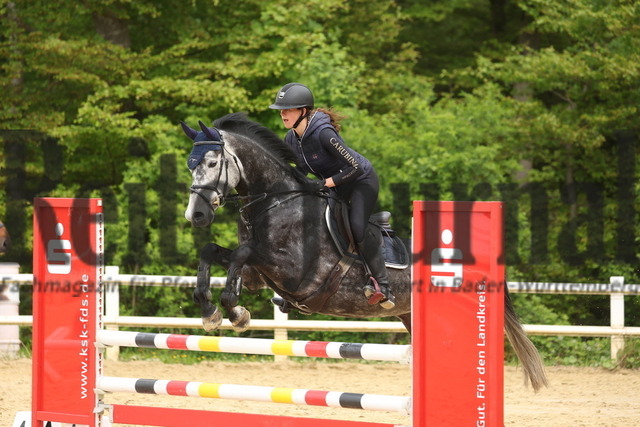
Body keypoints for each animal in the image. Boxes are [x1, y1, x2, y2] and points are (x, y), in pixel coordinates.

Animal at [182, 113, 548, 392]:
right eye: (190, 166)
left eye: (212, 162)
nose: (195, 216)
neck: (276, 200)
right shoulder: (259, 276)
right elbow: (214, 252)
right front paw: (212, 312)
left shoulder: (294, 272)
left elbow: (242, 253)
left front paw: (234, 310)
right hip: (411, 317)